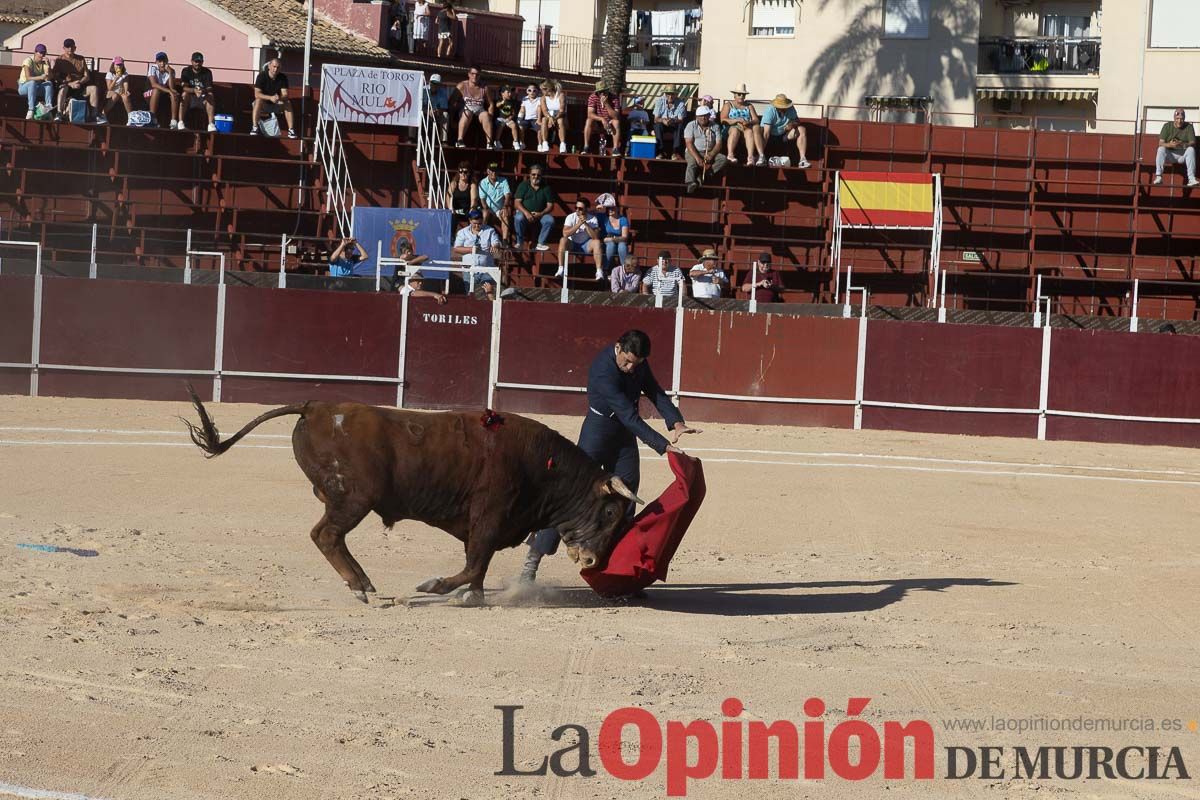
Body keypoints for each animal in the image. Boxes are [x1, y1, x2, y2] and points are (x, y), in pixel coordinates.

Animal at [178, 388, 643, 606]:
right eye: (609, 512)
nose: (593, 561)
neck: (539, 464)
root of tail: (315, 407)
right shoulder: (489, 515)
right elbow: (474, 561)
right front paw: (435, 586)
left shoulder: (489, 524)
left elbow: (478, 566)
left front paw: (471, 596)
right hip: (354, 498)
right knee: (326, 535)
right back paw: (359, 588)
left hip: (346, 499)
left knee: (331, 537)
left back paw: (364, 583)